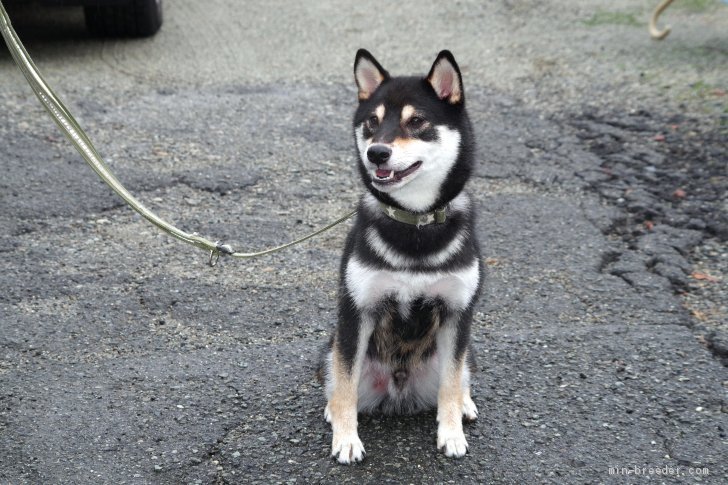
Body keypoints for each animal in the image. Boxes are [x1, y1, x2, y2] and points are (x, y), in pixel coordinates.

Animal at [320, 49, 484, 462]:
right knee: (335, 379)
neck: (415, 222)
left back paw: (465, 403)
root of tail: (399, 389)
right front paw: (346, 439)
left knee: (459, 376)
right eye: (372, 122)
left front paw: (452, 432)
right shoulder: (356, 312)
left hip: (467, 349)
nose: (376, 152)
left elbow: (450, 383)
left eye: (417, 121)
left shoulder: (457, 313)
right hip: (330, 345)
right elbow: (345, 384)